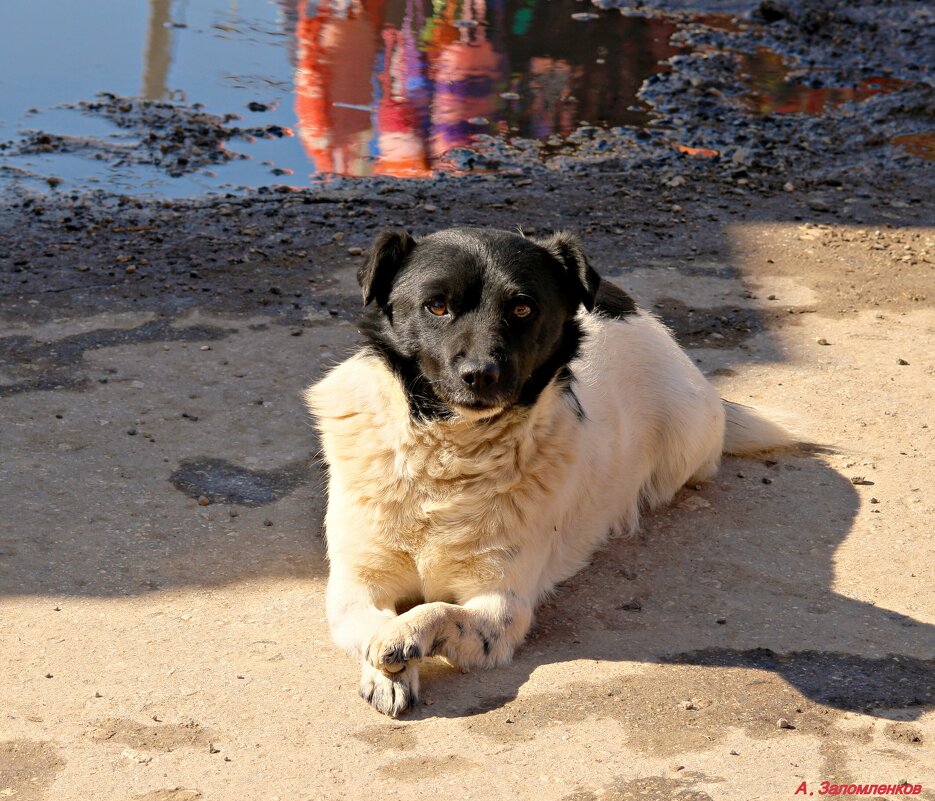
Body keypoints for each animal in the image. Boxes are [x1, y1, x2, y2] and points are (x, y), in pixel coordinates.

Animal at [306, 228, 788, 716]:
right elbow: (370, 628)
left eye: (522, 308)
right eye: (436, 306)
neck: (449, 460)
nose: (480, 374)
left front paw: (402, 636)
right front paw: (388, 673)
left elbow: (435, 612)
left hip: (685, 441)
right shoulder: (355, 584)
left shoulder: (501, 605)